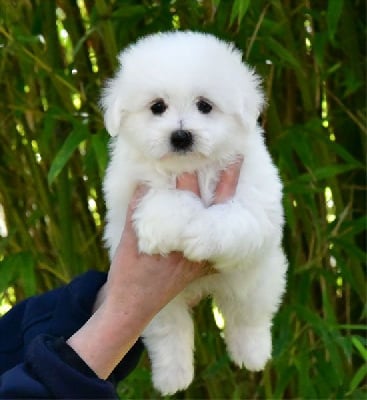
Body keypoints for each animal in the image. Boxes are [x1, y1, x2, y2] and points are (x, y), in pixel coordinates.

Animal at [102, 30, 288, 394]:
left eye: (205, 106)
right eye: (157, 107)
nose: (181, 135)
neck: (193, 169)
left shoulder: (258, 203)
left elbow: (234, 220)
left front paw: (199, 235)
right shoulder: (132, 189)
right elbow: (163, 198)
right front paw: (161, 229)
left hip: (259, 276)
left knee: (248, 316)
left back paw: (253, 354)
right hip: (150, 301)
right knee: (168, 331)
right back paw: (173, 377)